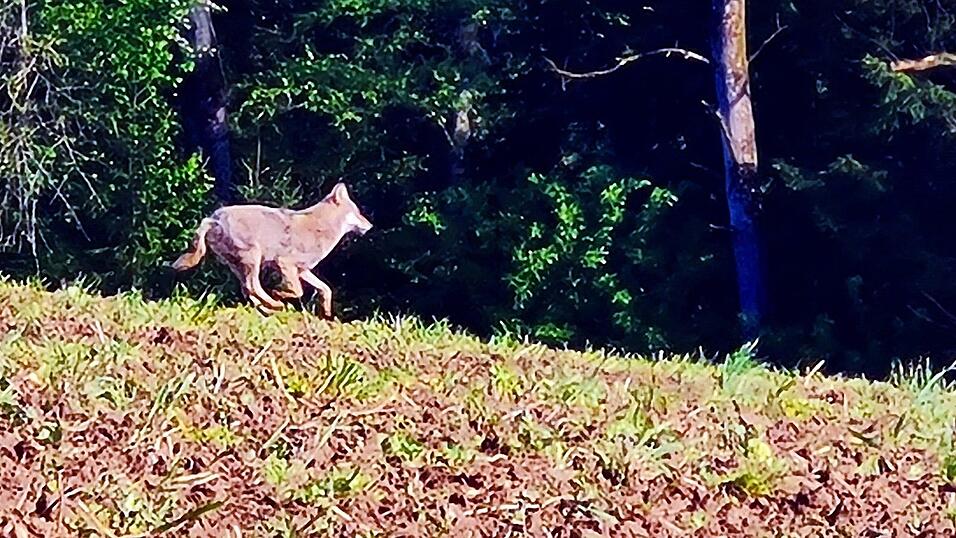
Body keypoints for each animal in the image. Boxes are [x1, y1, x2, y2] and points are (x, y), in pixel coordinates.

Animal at [171, 182, 373, 316]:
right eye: (358, 213)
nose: (370, 225)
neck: (321, 227)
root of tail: (213, 219)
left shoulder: (302, 270)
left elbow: (326, 289)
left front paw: (327, 312)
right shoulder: (286, 264)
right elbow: (298, 291)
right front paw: (279, 294)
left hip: (240, 266)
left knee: (247, 289)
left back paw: (267, 307)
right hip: (253, 259)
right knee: (252, 286)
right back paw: (274, 304)